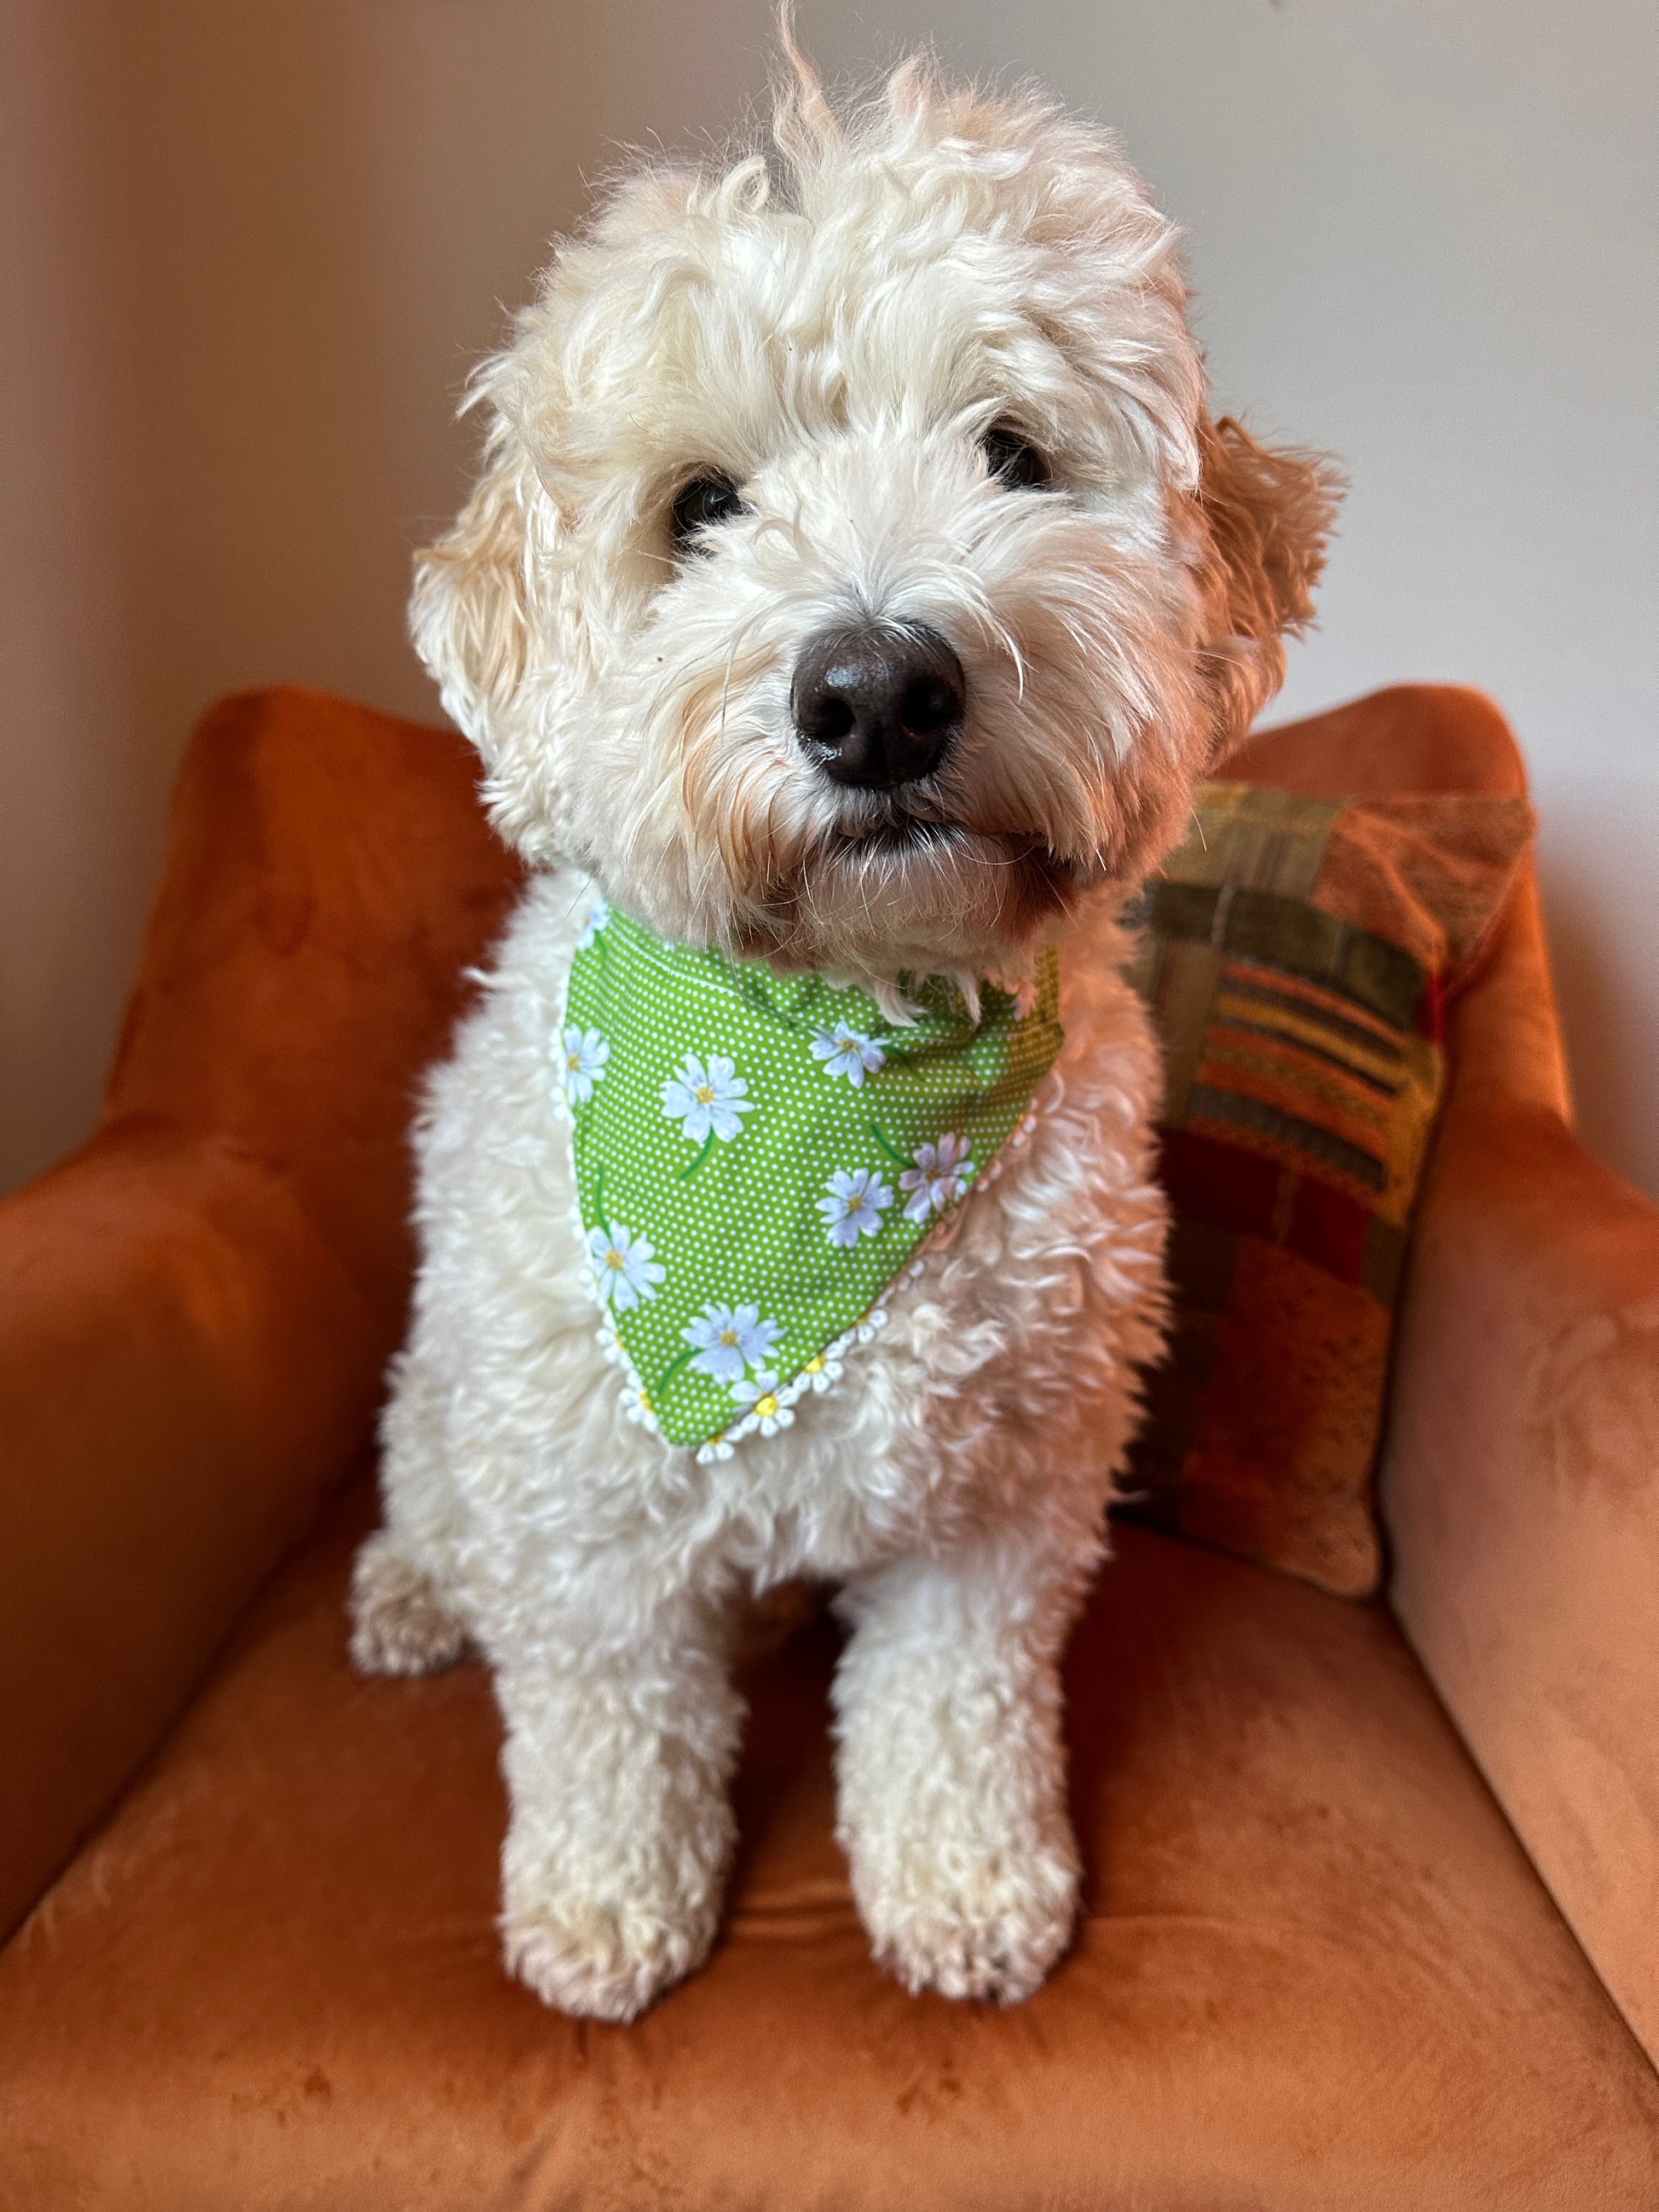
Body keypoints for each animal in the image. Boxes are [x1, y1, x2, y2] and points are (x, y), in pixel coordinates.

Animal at [351, 51, 1336, 2026]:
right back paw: (417, 1593)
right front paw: (604, 1906)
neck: (821, 1086)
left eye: (1012, 454)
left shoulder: (1002, 1500)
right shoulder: (586, 1517)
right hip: (443, 1405)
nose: (877, 692)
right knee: (433, 1508)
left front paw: (964, 1887)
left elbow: (953, 1711)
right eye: (699, 507)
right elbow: (604, 1726)